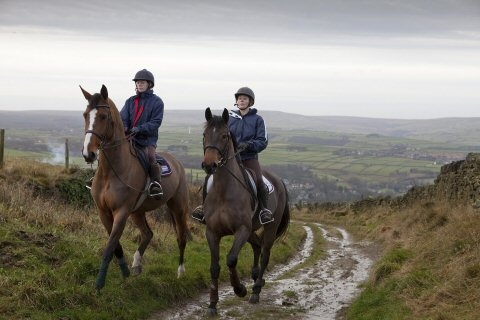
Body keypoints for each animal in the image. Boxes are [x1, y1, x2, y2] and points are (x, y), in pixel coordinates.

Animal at [80, 85, 189, 292]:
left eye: (103, 116)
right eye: (85, 115)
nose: (88, 154)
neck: (111, 171)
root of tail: (177, 162)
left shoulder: (121, 212)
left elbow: (109, 247)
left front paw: (99, 284)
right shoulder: (104, 212)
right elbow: (116, 246)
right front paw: (124, 272)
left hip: (177, 207)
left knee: (181, 237)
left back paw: (180, 271)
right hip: (138, 212)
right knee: (148, 233)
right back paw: (137, 264)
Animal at [202, 107, 290, 316]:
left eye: (224, 136)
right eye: (204, 135)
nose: (209, 165)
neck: (224, 191)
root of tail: (279, 180)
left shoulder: (241, 229)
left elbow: (232, 259)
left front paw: (239, 289)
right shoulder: (212, 232)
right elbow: (215, 267)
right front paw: (212, 304)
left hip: (269, 227)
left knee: (265, 253)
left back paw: (256, 291)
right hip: (251, 230)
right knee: (257, 245)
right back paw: (256, 276)